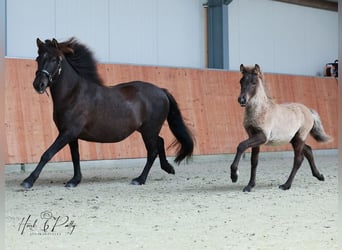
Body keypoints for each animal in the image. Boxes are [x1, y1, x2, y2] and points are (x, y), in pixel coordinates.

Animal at [20, 37, 192, 189]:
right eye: (38, 58)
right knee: (160, 142)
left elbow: (47, 154)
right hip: (147, 130)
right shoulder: (70, 134)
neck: (72, 94)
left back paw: (139, 179)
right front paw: (74, 181)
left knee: (152, 151)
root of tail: (162, 91)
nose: (38, 84)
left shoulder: (68, 132)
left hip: (149, 130)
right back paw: (168, 168)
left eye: (55, 59)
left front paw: (28, 181)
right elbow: (75, 157)